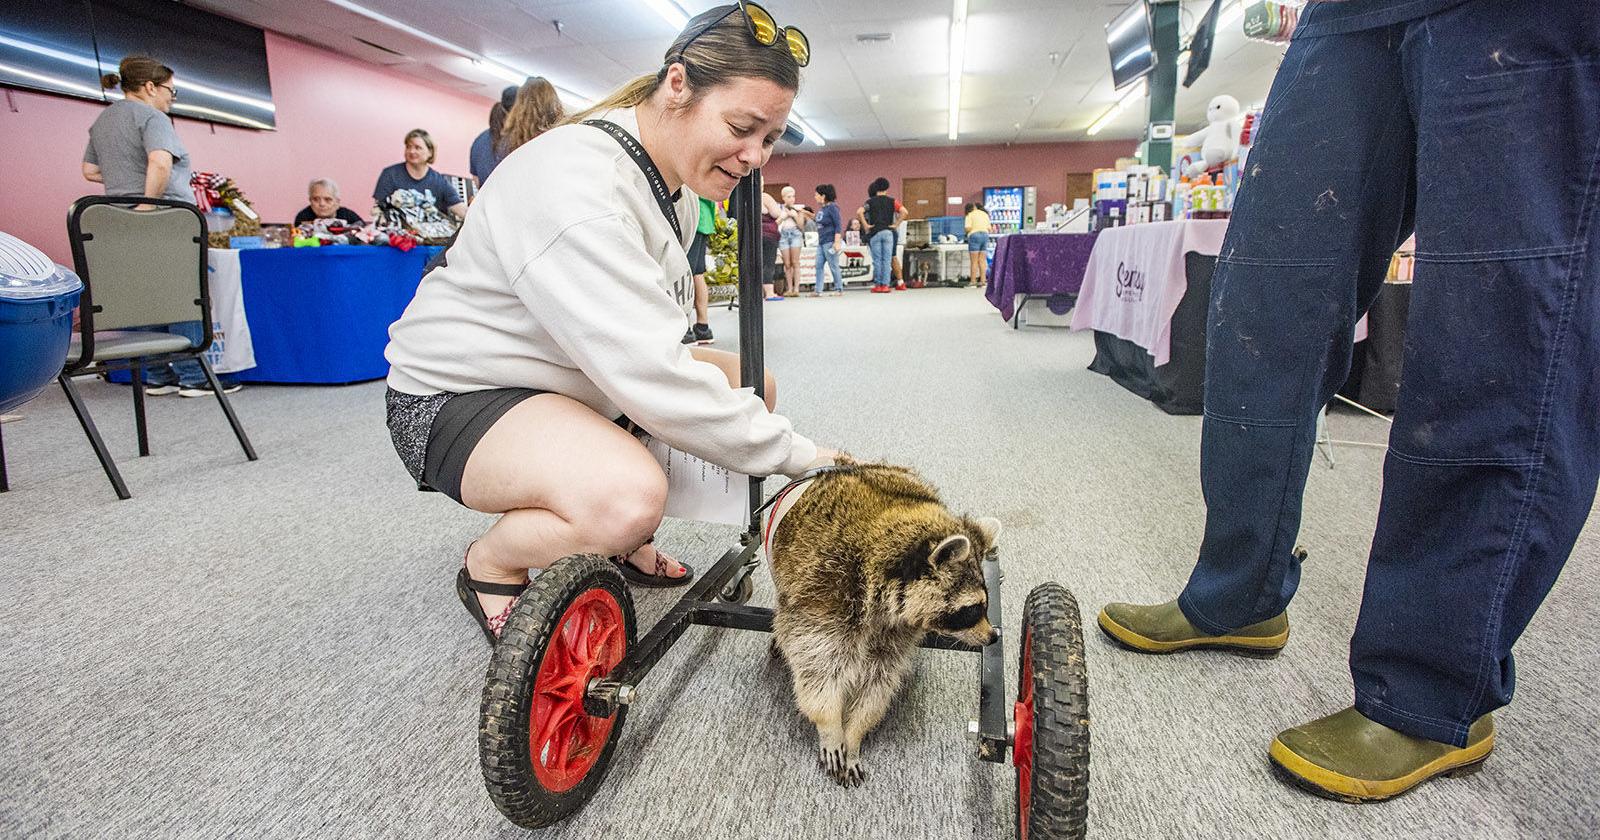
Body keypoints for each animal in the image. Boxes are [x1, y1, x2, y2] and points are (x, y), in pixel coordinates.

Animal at [764, 454, 998, 784]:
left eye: (986, 605)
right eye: (971, 609)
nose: (993, 636)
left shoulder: (897, 628)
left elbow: (878, 680)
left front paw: (855, 733)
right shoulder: (825, 595)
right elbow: (818, 669)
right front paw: (829, 723)